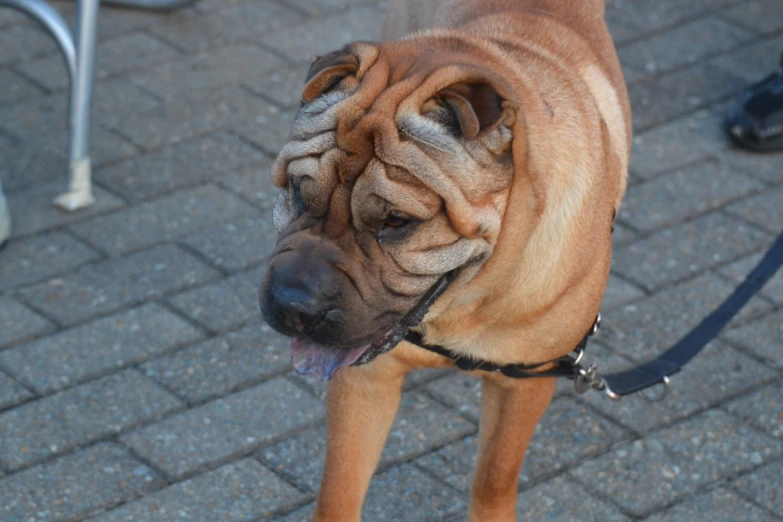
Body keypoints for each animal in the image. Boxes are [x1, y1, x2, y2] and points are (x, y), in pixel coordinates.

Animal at [260, 0, 632, 516]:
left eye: (396, 220)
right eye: (297, 190)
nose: (292, 305)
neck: (464, 306)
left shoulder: (527, 382)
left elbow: (495, 477)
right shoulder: (366, 379)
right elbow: (339, 487)